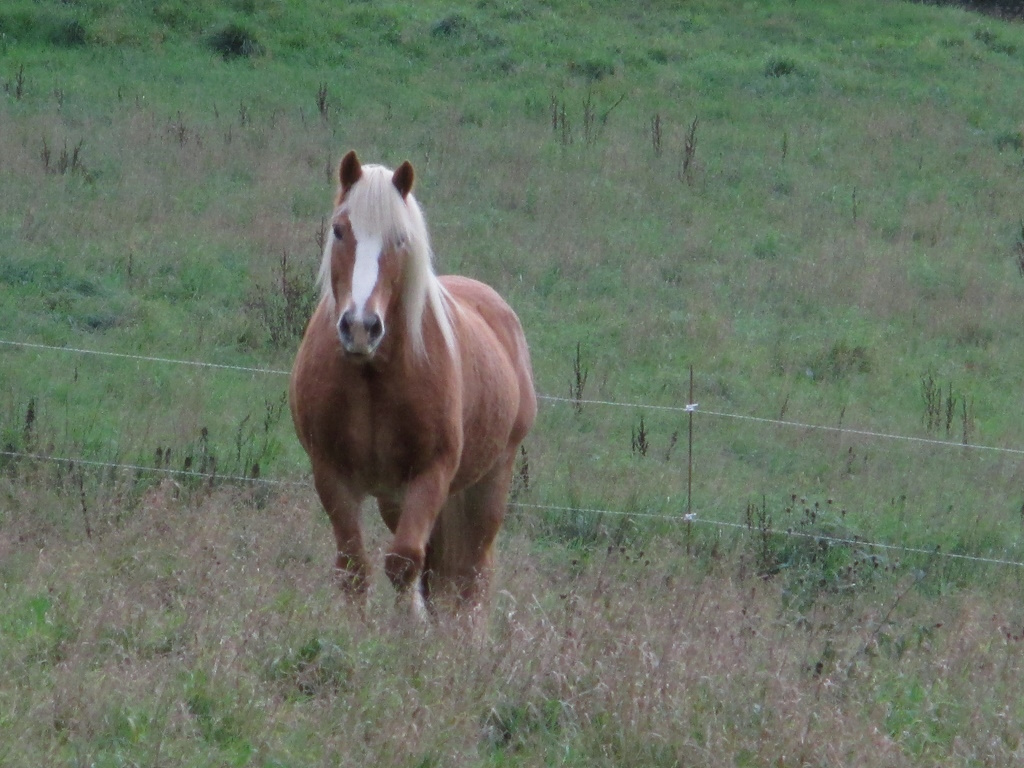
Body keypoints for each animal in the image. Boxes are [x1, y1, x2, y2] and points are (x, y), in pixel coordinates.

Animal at [289, 150, 537, 617]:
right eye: (339, 230)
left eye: (400, 239)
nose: (361, 327)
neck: (371, 375)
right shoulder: (331, 473)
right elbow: (355, 568)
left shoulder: (431, 475)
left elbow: (404, 563)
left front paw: (410, 630)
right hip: (395, 499)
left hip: (489, 483)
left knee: (472, 575)